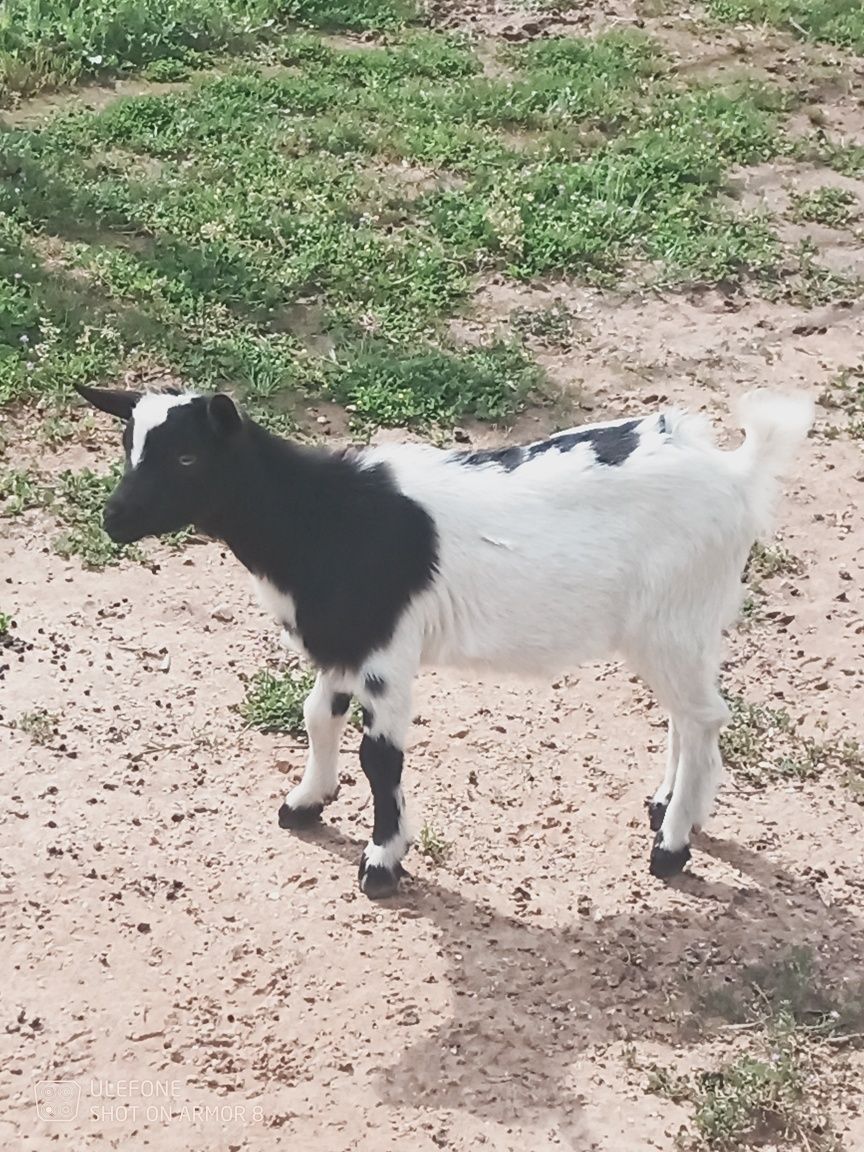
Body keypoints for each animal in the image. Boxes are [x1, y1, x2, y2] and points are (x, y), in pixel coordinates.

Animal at [77, 387, 815, 898]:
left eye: (186, 455)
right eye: (126, 448)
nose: (115, 519)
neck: (321, 517)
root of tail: (736, 472)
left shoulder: (385, 655)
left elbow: (381, 758)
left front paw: (382, 860)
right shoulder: (342, 641)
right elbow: (318, 719)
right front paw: (306, 803)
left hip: (673, 617)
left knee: (705, 717)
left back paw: (671, 846)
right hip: (680, 624)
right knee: (688, 717)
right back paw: (666, 806)